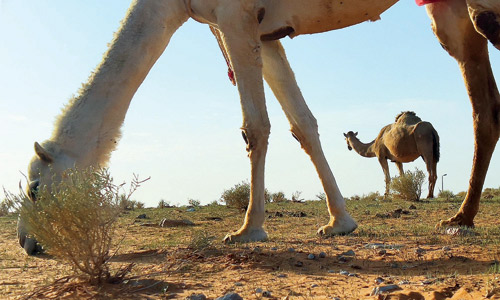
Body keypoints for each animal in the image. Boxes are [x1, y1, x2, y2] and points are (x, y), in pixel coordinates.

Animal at [18, 0, 500, 255]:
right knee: (486, 106)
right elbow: (302, 124)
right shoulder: (264, 31)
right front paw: (339, 222)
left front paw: (248, 229)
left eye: (34, 188)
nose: (27, 242)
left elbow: (255, 127)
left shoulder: (232, 17)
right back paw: (460, 218)